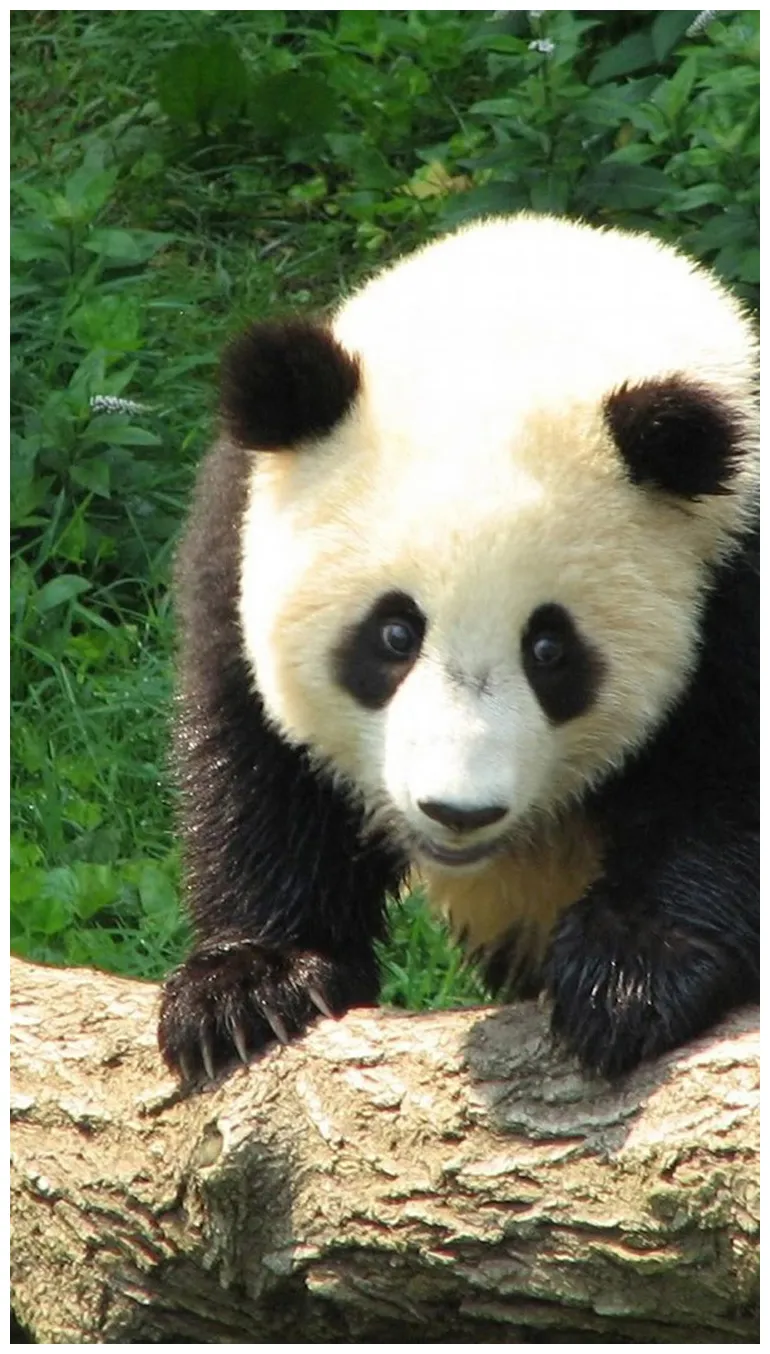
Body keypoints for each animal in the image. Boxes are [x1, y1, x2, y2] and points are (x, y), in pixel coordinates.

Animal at [159, 214, 758, 1084]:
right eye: (394, 634)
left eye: (550, 650)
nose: (457, 810)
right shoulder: (235, 540)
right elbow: (251, 757)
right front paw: (248, 988)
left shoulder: (735, 563)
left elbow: (730, 784)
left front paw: (629, 974)